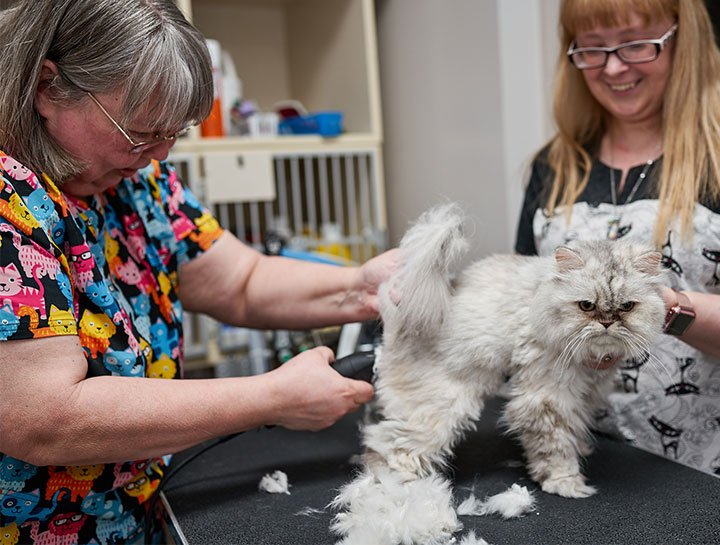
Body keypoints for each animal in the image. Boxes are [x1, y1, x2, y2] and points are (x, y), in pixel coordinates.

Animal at [362, 204, 668, 498]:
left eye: (627, 307)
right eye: (586, 306)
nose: (606, 323)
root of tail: (402, 320)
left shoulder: (586, 392)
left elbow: (575, 425)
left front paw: (580, 448)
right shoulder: (545, 400)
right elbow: (555, 447)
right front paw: (565, 482)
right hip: (441, 407)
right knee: (386, 445)